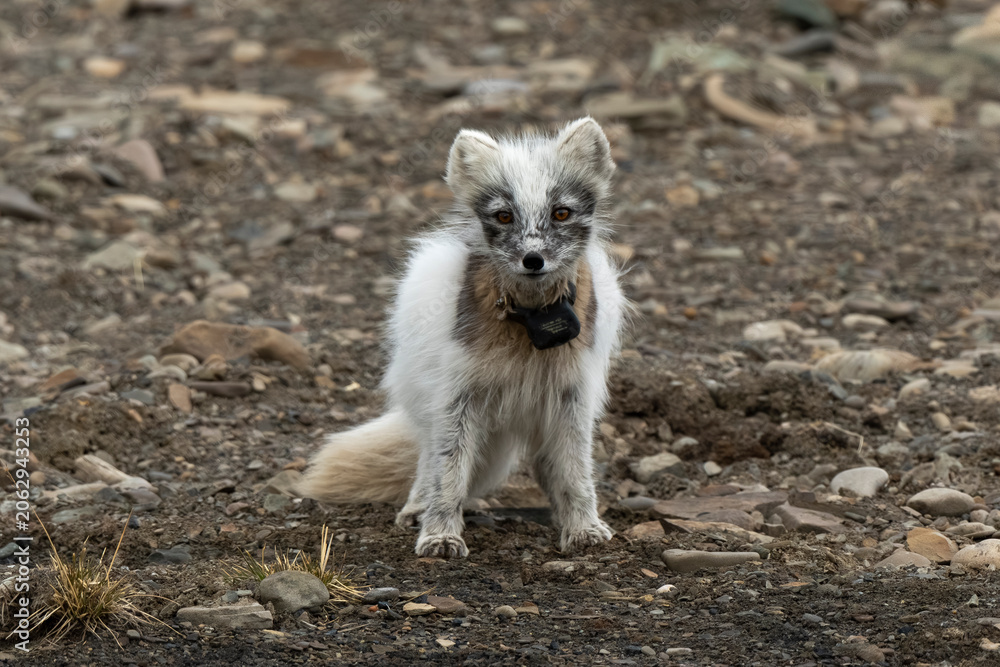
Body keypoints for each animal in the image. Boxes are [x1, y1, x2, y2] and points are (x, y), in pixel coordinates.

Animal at [298, 117, 628, 558]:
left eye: (561, 213)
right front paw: (439, 535)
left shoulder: (573, 393)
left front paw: (584, 529)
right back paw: (417, 509)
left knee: (546, 464)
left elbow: (575, 471)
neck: (529, 326)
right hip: (431, 401)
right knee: (427, 457)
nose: (533, 260)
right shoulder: (457, 394)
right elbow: (449, 470)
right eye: (503, 216)